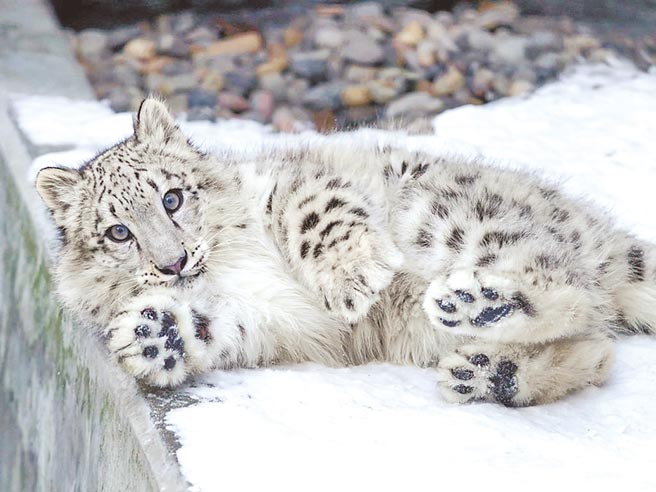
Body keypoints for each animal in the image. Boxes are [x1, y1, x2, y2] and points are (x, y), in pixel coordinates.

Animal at [34, 99, 656, 408]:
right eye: (118, 232)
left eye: (172, 196)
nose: (173, 264)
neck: (230, 265)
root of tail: (600, 234)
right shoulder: (272, 319)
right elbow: (220, 323)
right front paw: (154, 333)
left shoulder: (290, 183)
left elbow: (317, 214)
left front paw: (355, 279)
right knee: (594, 346)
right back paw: (487, 369)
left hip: (448, 217)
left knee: (566, 285)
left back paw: (478, 303)